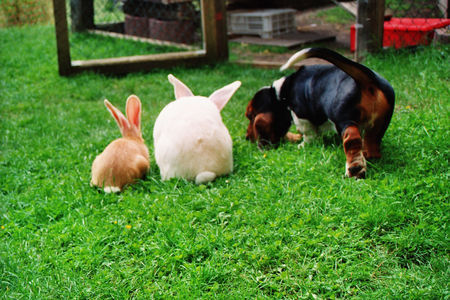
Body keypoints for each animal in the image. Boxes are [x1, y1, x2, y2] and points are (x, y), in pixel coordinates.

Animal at [244, 47, 396, 178]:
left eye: (250, 116)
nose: (247, 137)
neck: (280, 94)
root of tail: (367, 80)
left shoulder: (301, 115)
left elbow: (308, 133)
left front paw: (303, 145)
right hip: (380, 123)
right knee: (373, 141)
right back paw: (369, 156)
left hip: (344, 119)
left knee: (351, 139)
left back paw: (355, 169)